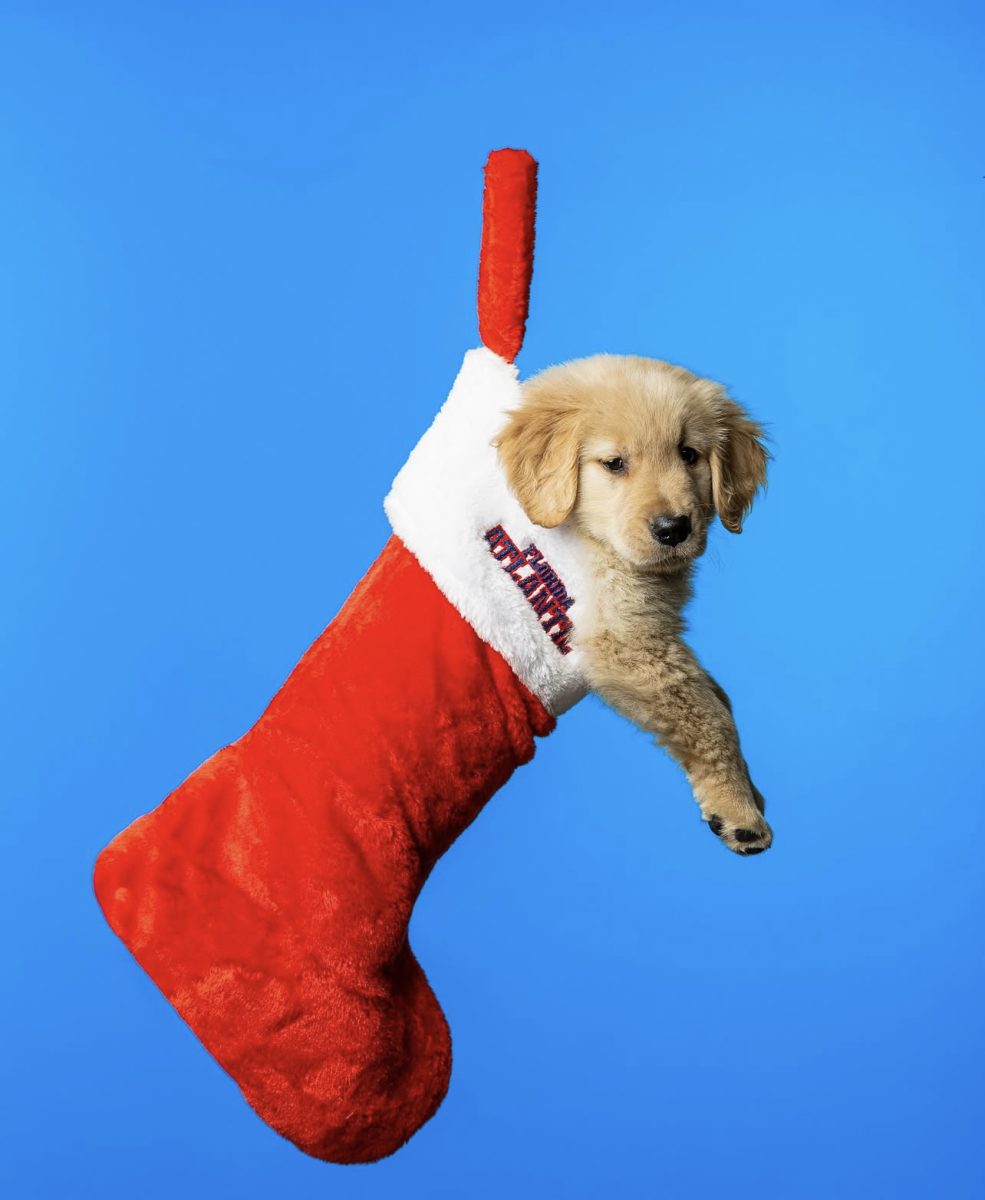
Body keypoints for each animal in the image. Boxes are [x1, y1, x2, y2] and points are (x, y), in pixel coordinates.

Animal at [496, 350, 772, 859]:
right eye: (614, 463)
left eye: (689, 454)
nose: (673, 529)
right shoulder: (625, 643)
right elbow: (709, 718)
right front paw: (739, 808)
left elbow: (718, 696)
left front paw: (748, 790)